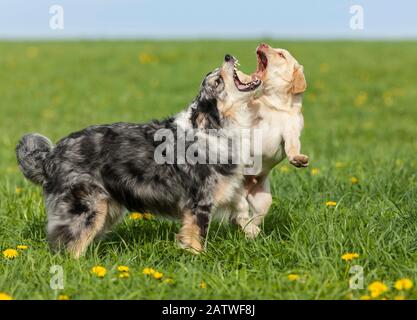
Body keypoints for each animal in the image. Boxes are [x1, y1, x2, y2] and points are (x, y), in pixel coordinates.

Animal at [236, 43, 308, 232]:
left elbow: (292, 147)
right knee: (240, 213)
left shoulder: (292, 132)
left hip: (263, 200)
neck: (276, 105)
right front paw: (240, 75)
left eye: (281, 55)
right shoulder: (250, 116)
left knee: (250, 217)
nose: (263, 44)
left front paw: (299, 159)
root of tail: (245, 189)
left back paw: (252, 231)